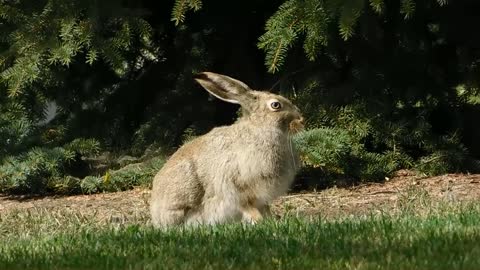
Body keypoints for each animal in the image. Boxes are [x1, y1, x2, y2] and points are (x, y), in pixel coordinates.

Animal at [150, 71, 304, 226]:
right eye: (275, 105)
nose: (301, 120)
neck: (260, 128)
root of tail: (156, 215)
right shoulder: (237, 188)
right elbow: (247, 207)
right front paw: (260, 221)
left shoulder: (261, 199)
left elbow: (265, 208)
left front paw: (270, 220)